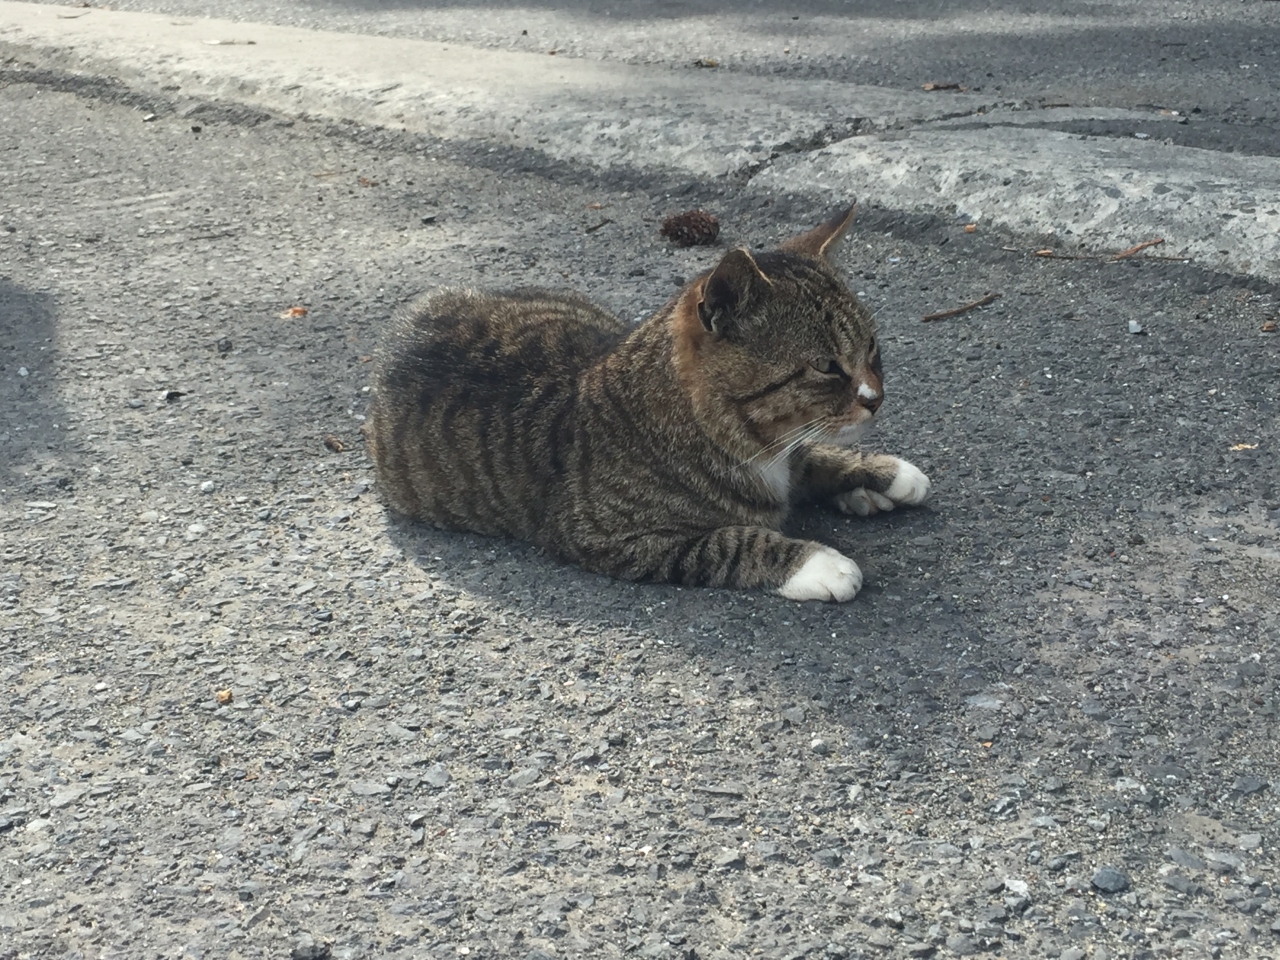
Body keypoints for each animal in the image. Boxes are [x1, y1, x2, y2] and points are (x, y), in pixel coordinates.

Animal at [363, 207, 931, 604]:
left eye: (872, 348)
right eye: (827, 366)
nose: (876, 399)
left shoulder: (792, 450)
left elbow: (815, 456)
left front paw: (879, 475)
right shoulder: (617, 538)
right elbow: (734, 541)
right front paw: (818, 563)